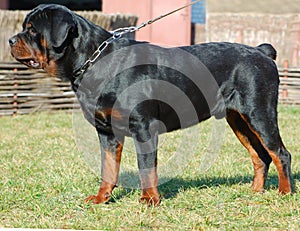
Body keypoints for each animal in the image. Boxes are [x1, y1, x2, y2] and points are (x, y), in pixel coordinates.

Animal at [8, 4, 290, 206]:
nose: (10, 40)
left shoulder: (143, 126)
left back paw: (284, 193)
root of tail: (261, 51)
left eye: (32, 30)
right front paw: (101, 198)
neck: (95, 60)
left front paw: (149, 199)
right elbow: (108, 168)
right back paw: (254, 192)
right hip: (238, 119)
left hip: (259, 113)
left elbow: (146, 166)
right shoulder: (107, 132)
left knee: (280, 153)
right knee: (261, 156)